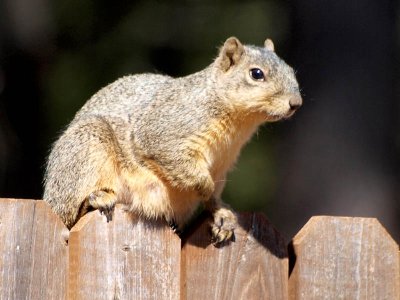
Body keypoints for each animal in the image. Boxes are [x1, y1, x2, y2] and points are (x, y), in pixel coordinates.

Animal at [43, 37, 300, 244]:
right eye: (256, 73)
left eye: (292, 71)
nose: (296, 103)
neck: (237, 125)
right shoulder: (166, 132)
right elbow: (179, 165)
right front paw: (204, 187)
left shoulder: (222, 165)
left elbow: (214, 195)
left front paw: (220, 212)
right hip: (87, 149)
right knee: (70, 214)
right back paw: (97, 198)